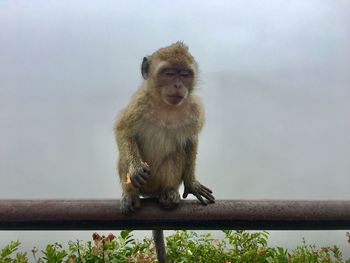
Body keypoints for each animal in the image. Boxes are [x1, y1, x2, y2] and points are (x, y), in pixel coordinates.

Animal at [115, 42, 215, 262]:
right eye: (169, 73)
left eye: (185, 74)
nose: (178, 85)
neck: (165, 105)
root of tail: (151, 192)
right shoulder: (139, 102)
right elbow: (124, 131)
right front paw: (135, 168)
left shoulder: (195, 109)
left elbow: (190, 142)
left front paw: (191, 183)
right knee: (124, 158)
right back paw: (130, 193)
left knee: (176, 154)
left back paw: (168, 192)